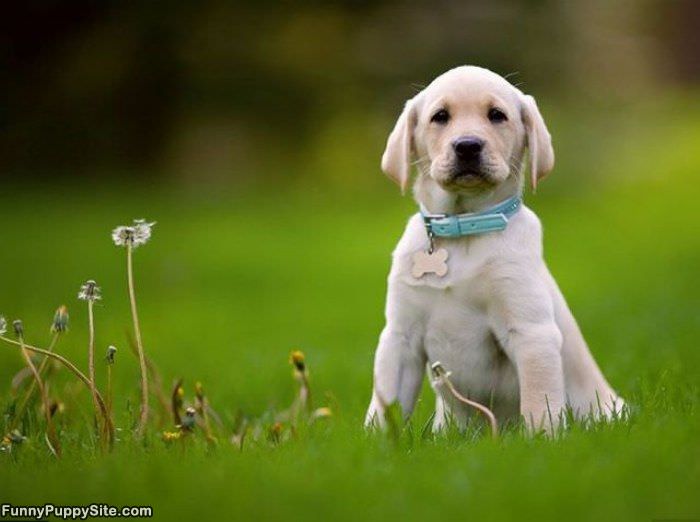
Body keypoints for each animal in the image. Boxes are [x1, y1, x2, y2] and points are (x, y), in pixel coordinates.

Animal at [366, 65, 624, 430]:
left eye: (497, 115)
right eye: (440, 116)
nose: (467, 146)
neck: (463, 226)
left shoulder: (532, 332)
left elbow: (539, 402)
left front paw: (542, 438)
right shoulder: (400, 338)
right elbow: (385, 404)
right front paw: (375, 440)